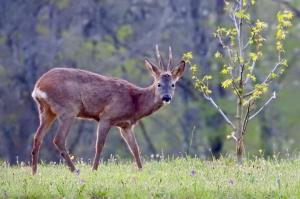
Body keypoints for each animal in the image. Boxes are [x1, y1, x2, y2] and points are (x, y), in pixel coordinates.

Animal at [31, 45, 185, 174]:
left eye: (173, 84)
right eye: (158, 84)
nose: (166, 97)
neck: (135, 103)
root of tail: (38, 87)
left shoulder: (126, 126)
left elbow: (135, 149)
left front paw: (141, 171)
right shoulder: (107, 116)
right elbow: (99, 145)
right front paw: (94, 170)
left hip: (46, 111)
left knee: (38, 137)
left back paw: (34, 172)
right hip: (68, 109)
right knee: (58, 139)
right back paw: (76, 171)